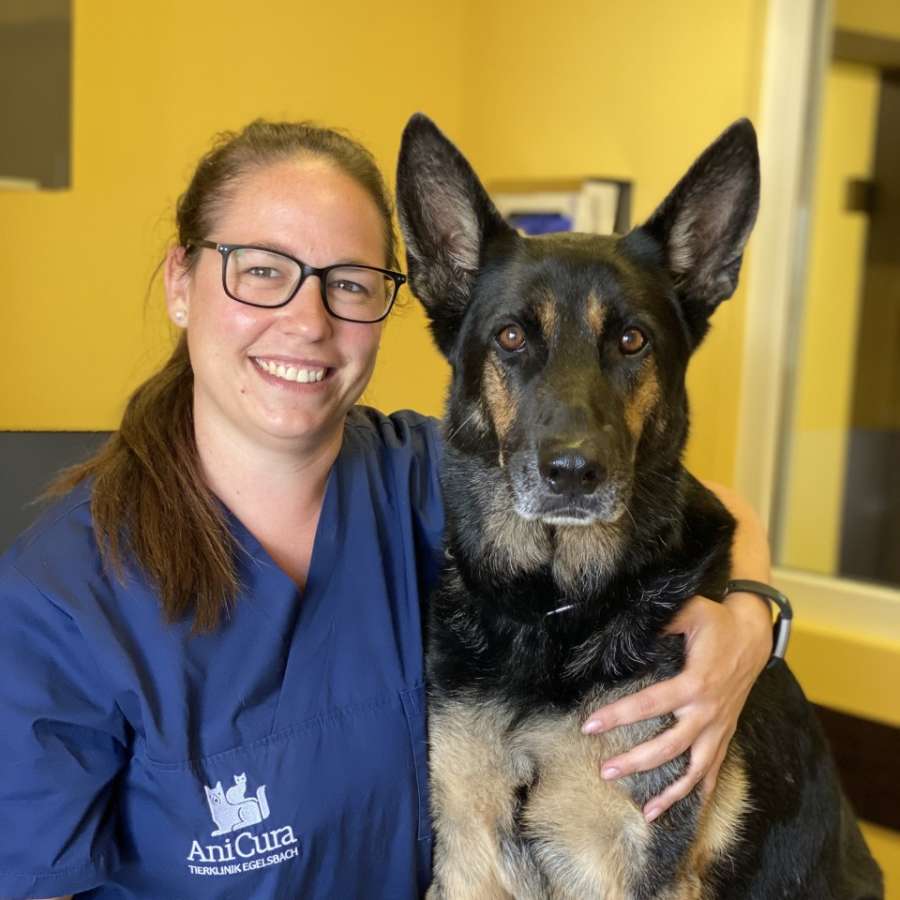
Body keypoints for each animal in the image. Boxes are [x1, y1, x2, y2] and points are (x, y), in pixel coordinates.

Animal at [396, 114, 884, 900]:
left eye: (632, 340)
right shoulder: (469, 855)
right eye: (511, 337)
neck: (554, 613)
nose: (573, 473)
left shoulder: (632, 864)